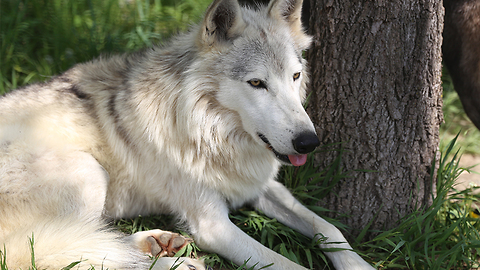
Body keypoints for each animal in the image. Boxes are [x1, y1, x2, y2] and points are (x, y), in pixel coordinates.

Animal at [0, 0, 376, 270]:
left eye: (295, 76)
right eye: (256, 82)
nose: (308, 142)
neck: (211, 131)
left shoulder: (258, 186)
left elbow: (328, 227)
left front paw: (360, 266)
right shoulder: (214, 226)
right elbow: (289, 265)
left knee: (87, 242)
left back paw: (156, 245)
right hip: (88, 173)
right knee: (39, 255)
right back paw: (175, 264)